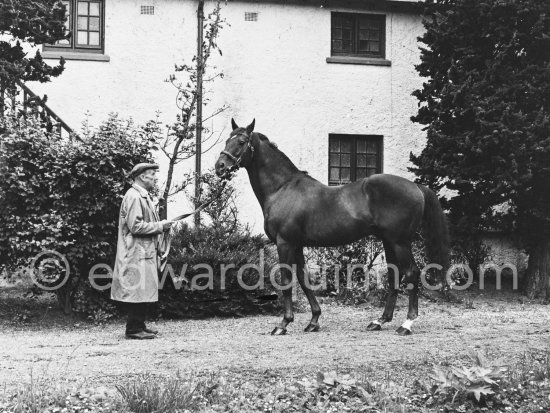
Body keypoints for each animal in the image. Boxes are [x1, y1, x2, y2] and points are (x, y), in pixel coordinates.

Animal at [213, 118, 450, 334]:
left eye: (241, 141)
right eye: (227, 139)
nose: (220, 166)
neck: (282, 188)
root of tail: (416, 186)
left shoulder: (284, 243)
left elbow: (287, 280)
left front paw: (283, 324)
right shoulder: (297, 245)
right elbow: (304, 279)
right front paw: (313, 321)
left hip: (400, 242)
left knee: (411, 273)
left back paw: (406, 324)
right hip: (389, 241)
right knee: (394, 275)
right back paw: (379, 321)